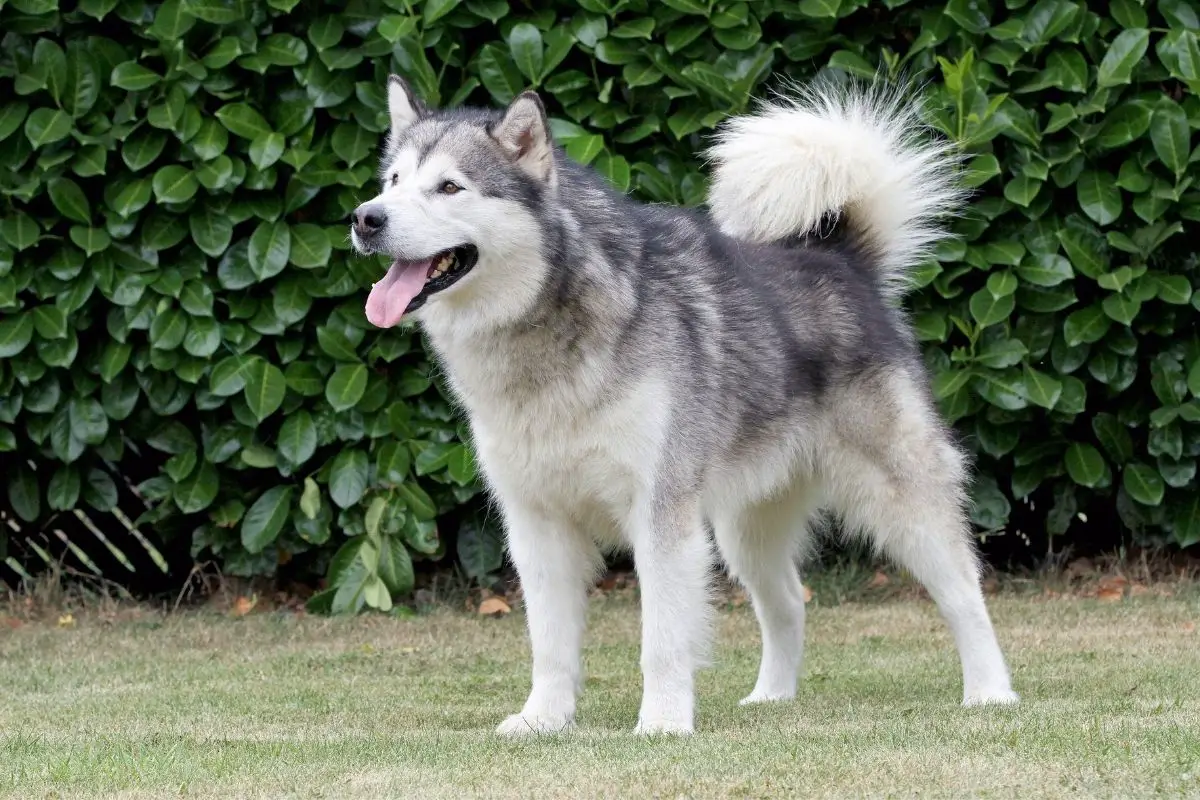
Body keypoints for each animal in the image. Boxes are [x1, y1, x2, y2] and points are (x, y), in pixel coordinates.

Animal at [350, 71, 1017, 734]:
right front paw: (543, 718)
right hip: (746, 528)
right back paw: (771, 696)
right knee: (788, 607)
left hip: (902, 501)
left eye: (449, 187)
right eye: (392, 181)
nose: (364, 218)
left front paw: (664, 723)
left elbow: (664, 639)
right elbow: (550, 642)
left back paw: (991, 693)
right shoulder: (537, 524)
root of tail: (840, 260)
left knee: (966, 594)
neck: (549, 323)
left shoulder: (661, 514)